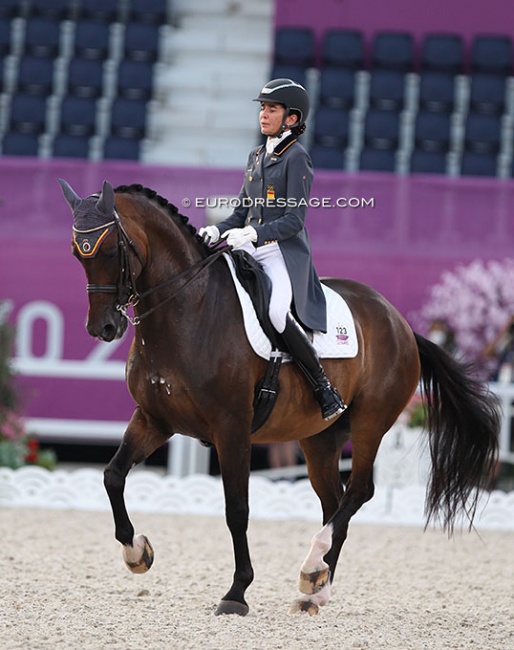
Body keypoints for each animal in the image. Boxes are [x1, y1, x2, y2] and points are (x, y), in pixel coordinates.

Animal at [58, 180, 498, 616]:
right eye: (77, 254)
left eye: (111, 250)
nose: (104, 328)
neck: (188, 309)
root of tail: (400, 322)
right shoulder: (154, 419)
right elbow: (112, 475)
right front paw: (137, 553)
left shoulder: (231, 428)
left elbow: (237, 509)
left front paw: (236, 593)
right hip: (320, 438)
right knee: (334, 503)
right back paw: (315, 586)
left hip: (370, 423)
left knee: (359, 492)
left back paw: (312, 567)